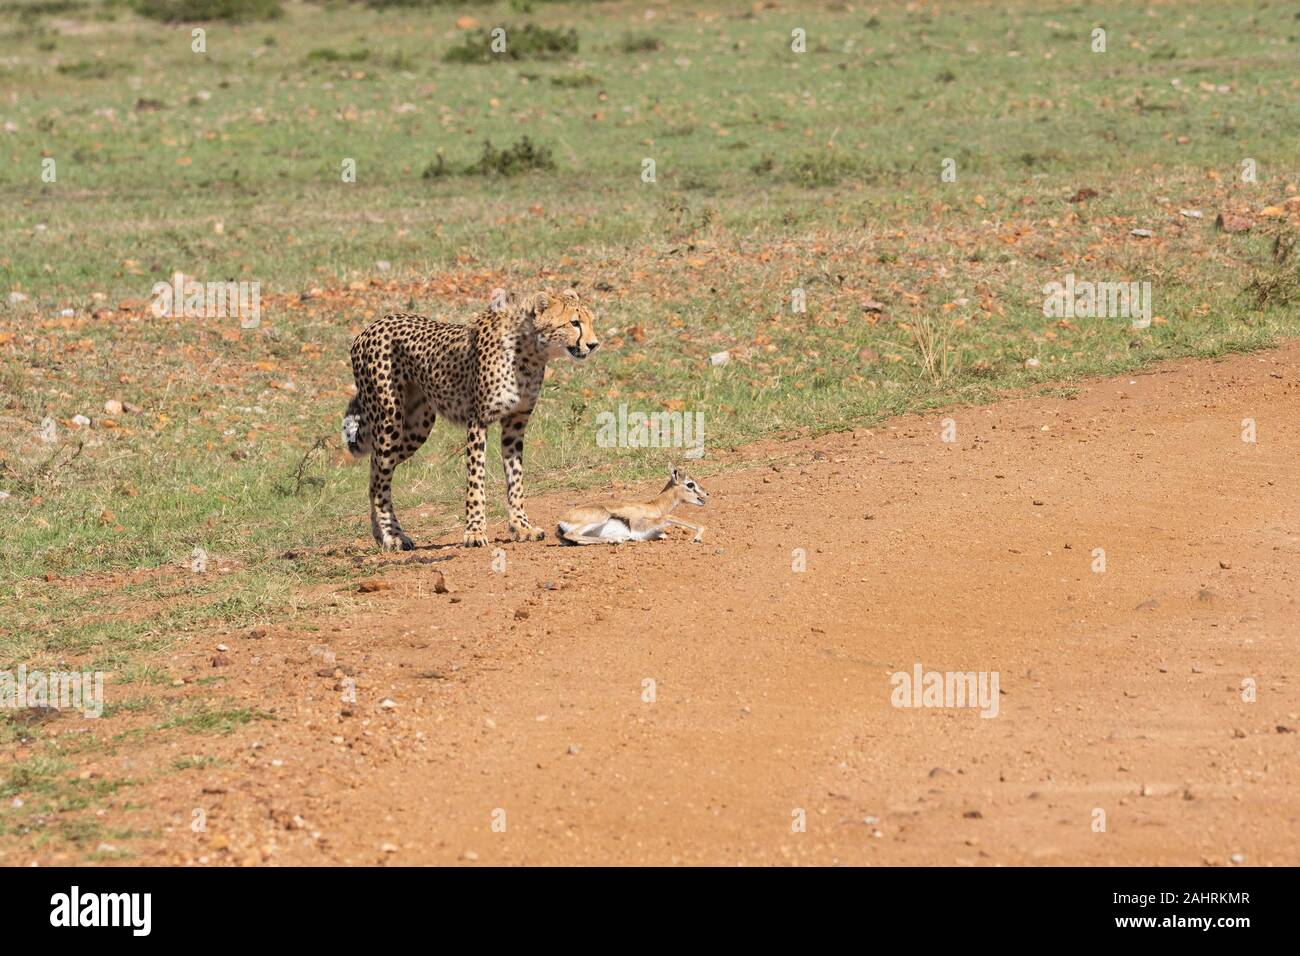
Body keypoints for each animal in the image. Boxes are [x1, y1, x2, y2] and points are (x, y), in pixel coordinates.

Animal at [340, 287, 595, 548]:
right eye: (574, 323)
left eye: (591, 321)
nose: (593, 344)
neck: (530, 351)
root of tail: (371, 327)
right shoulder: (478, 420)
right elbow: (476, 478)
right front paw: (475, 532)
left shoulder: (515, 423)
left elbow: (515, 479)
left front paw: (522, 527)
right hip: (390, 421)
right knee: (380, 479)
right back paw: (393, 536)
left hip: (415, 428)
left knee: (375, 472)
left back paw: (380, 535)